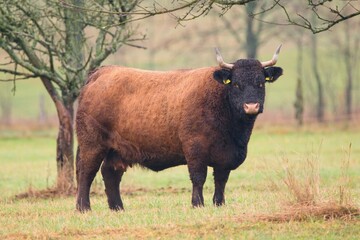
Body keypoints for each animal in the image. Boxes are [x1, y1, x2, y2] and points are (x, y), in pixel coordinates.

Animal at [76, 46, 284, 211]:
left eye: (261, 83)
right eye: (236, 84)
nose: (251, 106)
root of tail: (102, 72)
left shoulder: (225, 156)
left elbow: (221, 180)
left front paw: (219, 203)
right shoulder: (195, 149)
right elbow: (198, 177)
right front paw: (197, 204)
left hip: (117, 150)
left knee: (110, 173)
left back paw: (117, 207)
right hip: (92, 144)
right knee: (86, 172)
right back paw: (83, 207)